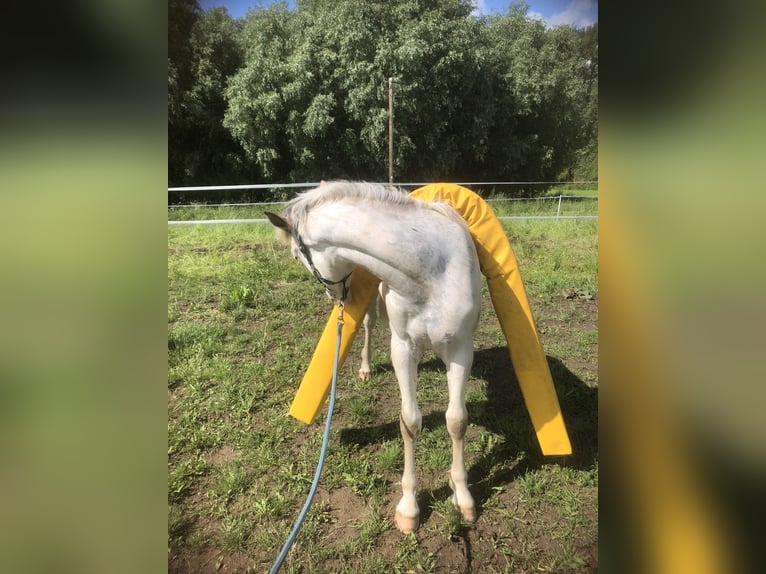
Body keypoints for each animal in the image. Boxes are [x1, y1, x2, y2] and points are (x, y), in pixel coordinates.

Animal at [266, 181, 480, 536]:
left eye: (297, 254)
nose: (335, 296)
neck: (431, 272)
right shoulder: (403, 347)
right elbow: (410, 422)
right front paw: (409, 508)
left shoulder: (461, 349)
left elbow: (457, 421)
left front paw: (462, 496)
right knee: (368, 325)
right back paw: (366, 368)